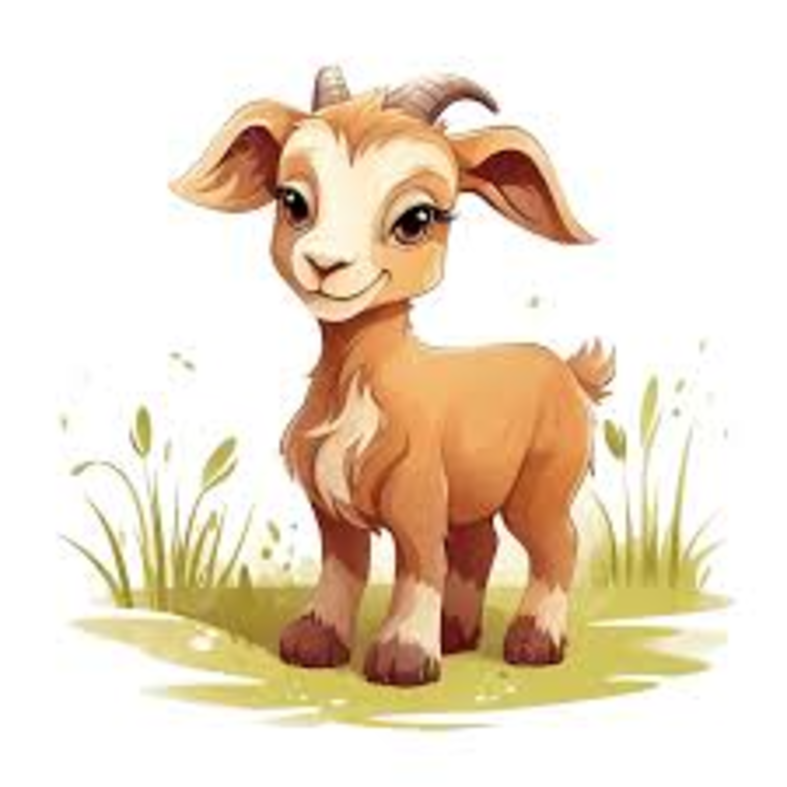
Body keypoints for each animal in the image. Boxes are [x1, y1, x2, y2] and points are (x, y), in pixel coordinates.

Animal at [172, 67, 614, 687]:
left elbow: (420, 561)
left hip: (545, 479)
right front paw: (314, 642)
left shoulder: (419, 493)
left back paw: (534, 641)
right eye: (292, 200)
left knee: (557, 543)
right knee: (480, 543)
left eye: (418, 219)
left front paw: (404, 658)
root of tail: (569, 370)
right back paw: (456, 635)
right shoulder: (331, 506)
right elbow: (345, 567)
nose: (325, 264)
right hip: (476, 491)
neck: (361, 384)